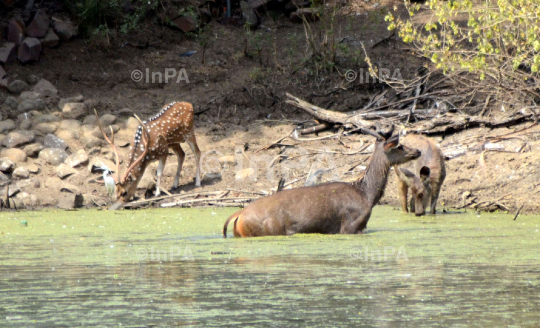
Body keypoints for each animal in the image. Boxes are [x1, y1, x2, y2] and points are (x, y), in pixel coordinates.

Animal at [223, 124, 422, 237]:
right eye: (400, 146)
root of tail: (238, 216)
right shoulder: (350, 225)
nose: (418, 151)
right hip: (268, 230)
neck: (367, 195)